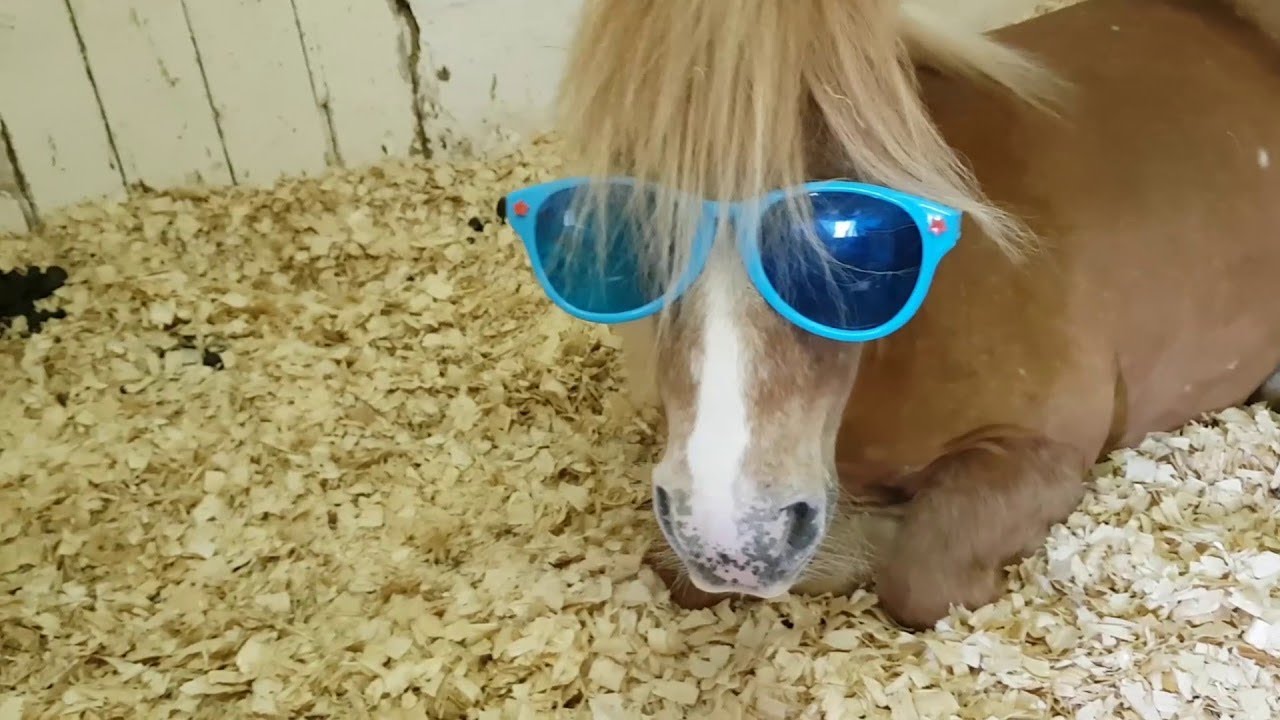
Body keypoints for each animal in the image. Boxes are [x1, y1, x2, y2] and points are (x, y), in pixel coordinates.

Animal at [503, 0, 1280, 630]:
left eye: (847, 225)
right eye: (627, 227)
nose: (733, 543)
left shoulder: (1047, 449)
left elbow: (920, 577)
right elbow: (675, 570)